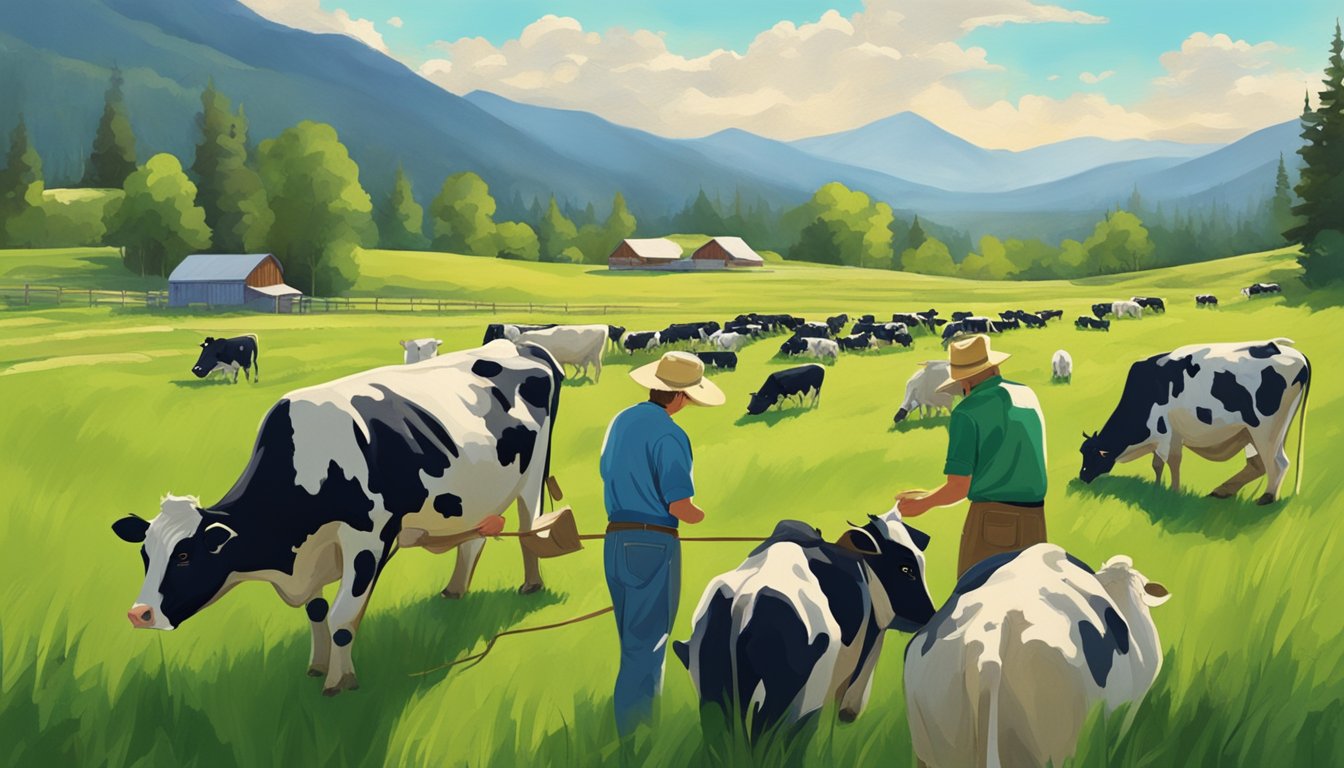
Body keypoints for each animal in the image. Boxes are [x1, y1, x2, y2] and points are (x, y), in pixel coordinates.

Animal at [110, 341, 561, 699]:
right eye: (146, 555)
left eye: (185, 556)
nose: (139, 614)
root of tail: (521, 344)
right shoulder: (315, 553)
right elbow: (317, 611)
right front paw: (316, 666)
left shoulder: (368, 539)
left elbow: (342, 617)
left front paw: (339, 681)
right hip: (473, 499)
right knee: (475, 539)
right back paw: (454, 590)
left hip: (534, 474)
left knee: (533, 528)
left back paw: (531, 585)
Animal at [1080, 337, 1311, 505]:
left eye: (1092, 456)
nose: (1081, 477)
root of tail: (1289, 350)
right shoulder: (1173, 436)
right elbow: (1164, 463)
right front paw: (1163, 488)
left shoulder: (1164, 433)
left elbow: (1164, 463)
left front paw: (1167, 491)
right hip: (1253, 431)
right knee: (1258, 464)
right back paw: (1222, 491)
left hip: (1266, 429)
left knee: (1278, 462)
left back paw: (1267, 497)